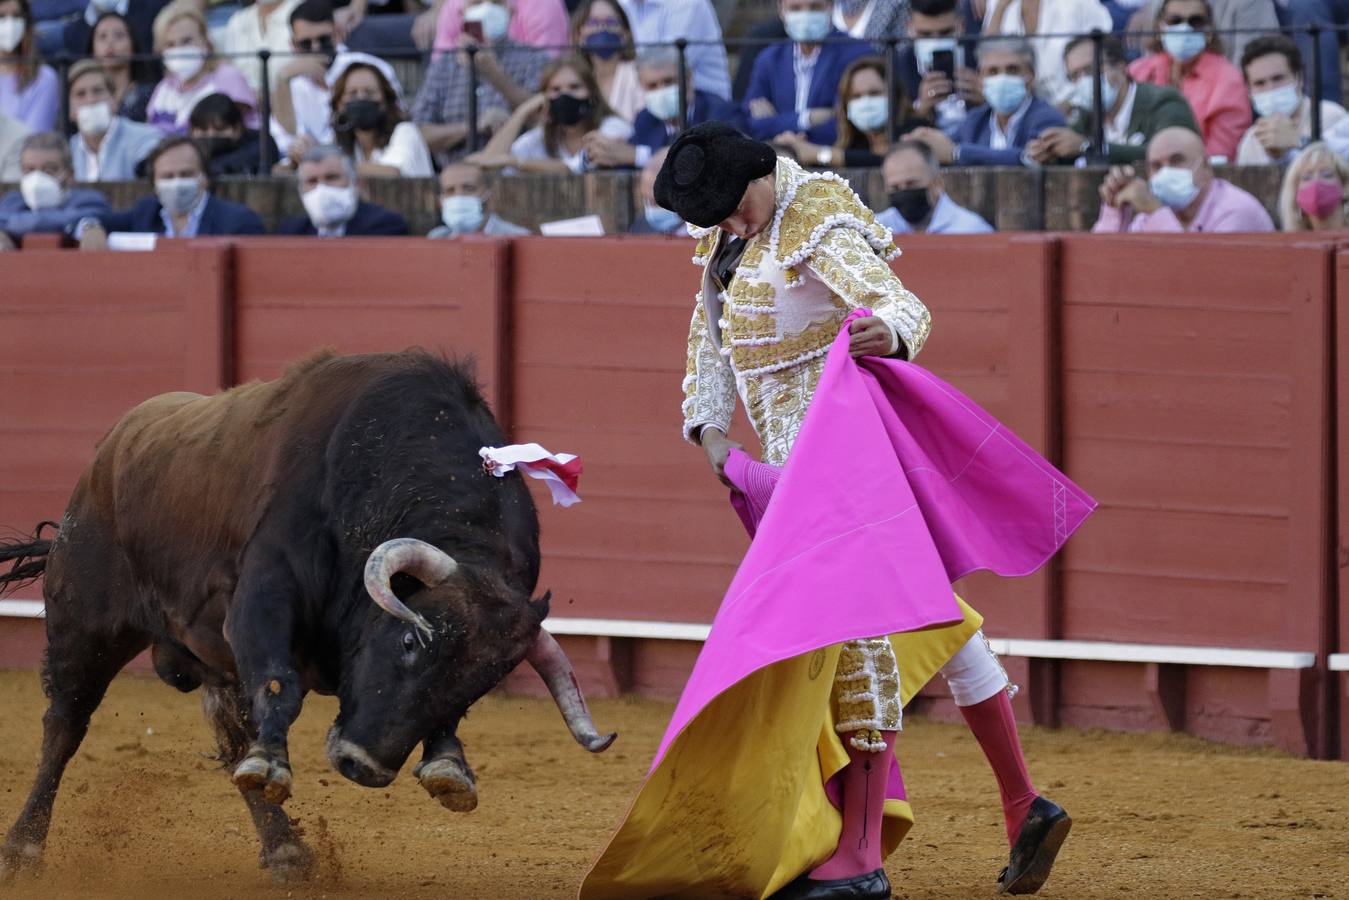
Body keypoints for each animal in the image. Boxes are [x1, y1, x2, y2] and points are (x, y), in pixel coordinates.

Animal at [0, 350, 617, 879]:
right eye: (409, 643)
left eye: (482, 685)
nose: (363, 765)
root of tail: (108, 453)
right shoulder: (265, 595)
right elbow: (281, 683)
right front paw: (274, 764)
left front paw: (449, 768)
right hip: (85, 626)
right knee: (65, 724)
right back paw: (24, 848)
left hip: (207, 659)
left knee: (231, 736)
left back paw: (286, 851)